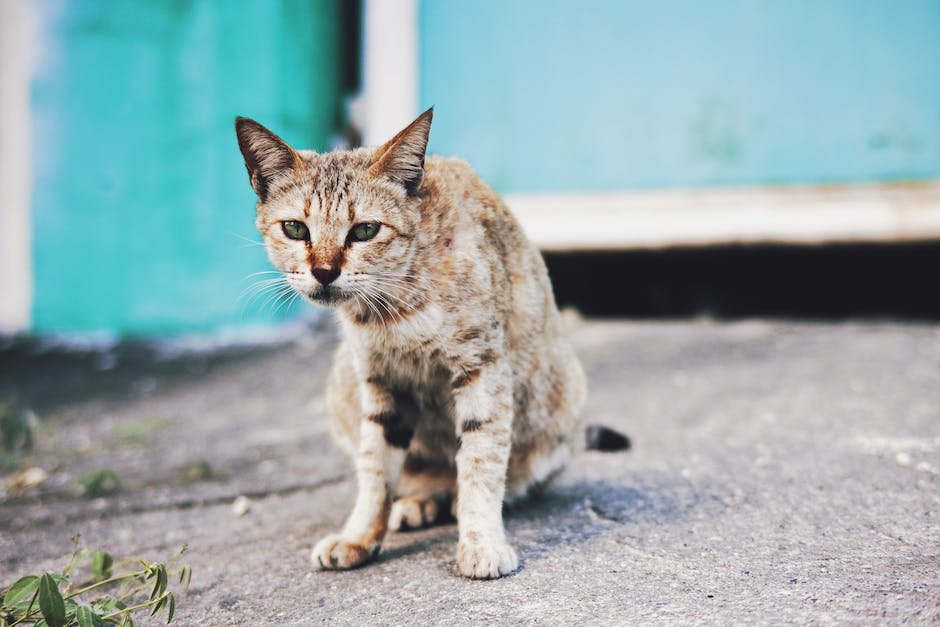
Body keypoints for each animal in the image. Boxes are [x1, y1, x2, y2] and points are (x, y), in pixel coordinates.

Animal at [232, 106, 628, 580]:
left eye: (364, 230)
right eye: (295, 228)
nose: (324, 271)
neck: (393, 306)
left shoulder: (483, 369)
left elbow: (480, 461)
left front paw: (481, 541)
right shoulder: (381, 384)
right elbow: (375, 469)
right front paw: (359, 536)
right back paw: (418, 502)